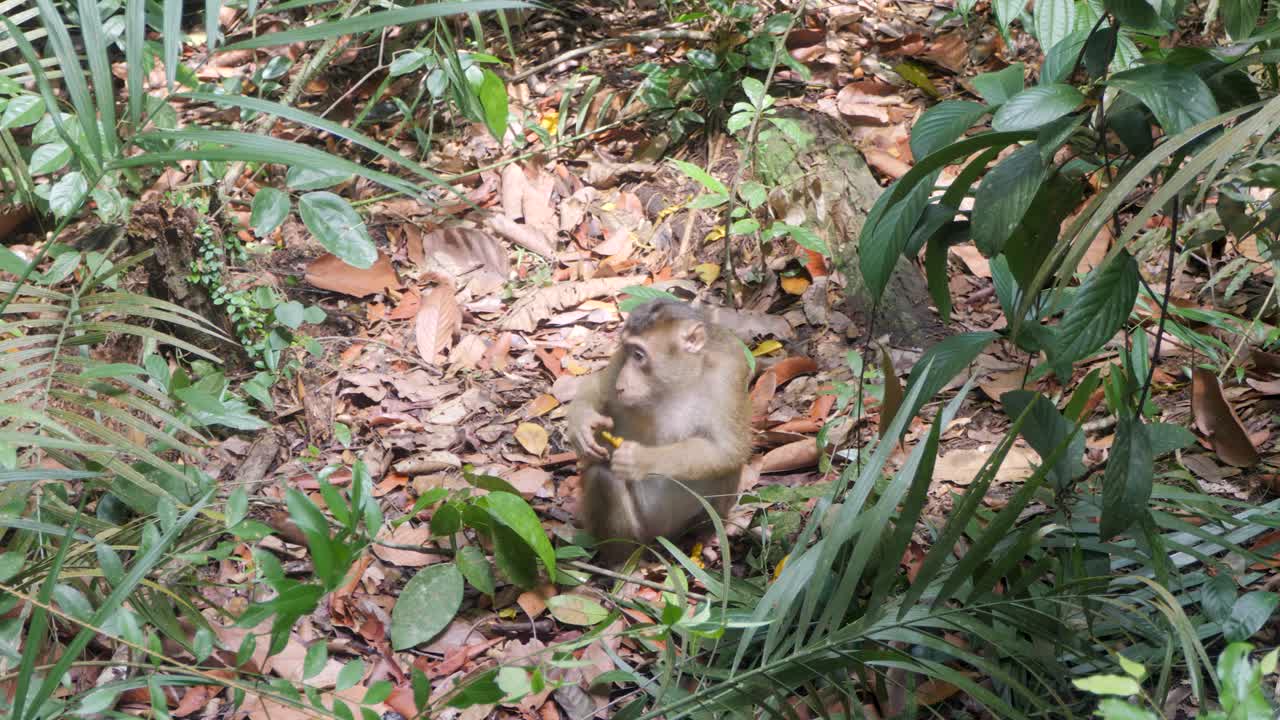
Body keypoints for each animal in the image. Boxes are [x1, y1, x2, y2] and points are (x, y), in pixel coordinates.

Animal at [566, 298, 752, 562]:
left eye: (639, 355)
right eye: (627, 351)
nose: (622, 383)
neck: (679, 382)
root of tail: (665, 536)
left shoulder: (730, 370)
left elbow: (728, 448)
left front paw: (640, 459)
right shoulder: (617, 362)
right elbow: (600, 386)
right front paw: (581, 421)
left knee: (727, 468)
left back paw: (706, 537)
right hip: (643, 529)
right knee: (602, 478)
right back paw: (621, 564)